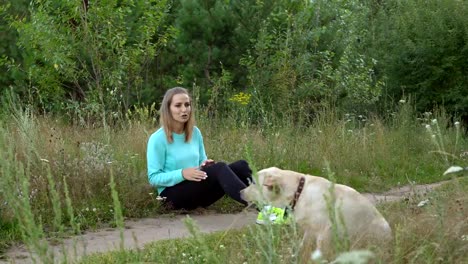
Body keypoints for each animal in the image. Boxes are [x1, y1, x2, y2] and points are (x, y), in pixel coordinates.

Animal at [241, 167, 392, 252]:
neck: (299, 192)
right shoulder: (310, 230)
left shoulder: (325, 232)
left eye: (253, 182)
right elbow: (303, 246)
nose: (240, 192)